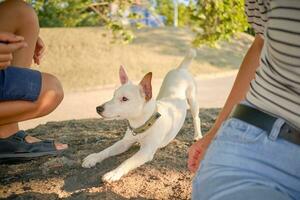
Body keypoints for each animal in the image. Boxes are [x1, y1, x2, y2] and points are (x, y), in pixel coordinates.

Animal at [82, 49, 202, 182]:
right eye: (113, 95)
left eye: (124, 99)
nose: (98, 108)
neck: (143, 123)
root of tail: (181, 69)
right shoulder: (124, 143)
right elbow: (107, 150)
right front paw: (94, 157)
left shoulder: (146, 151)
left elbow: (127, 161)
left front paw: (114, 173)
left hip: (193, 100)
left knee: (196, 118)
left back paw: (198, 135)